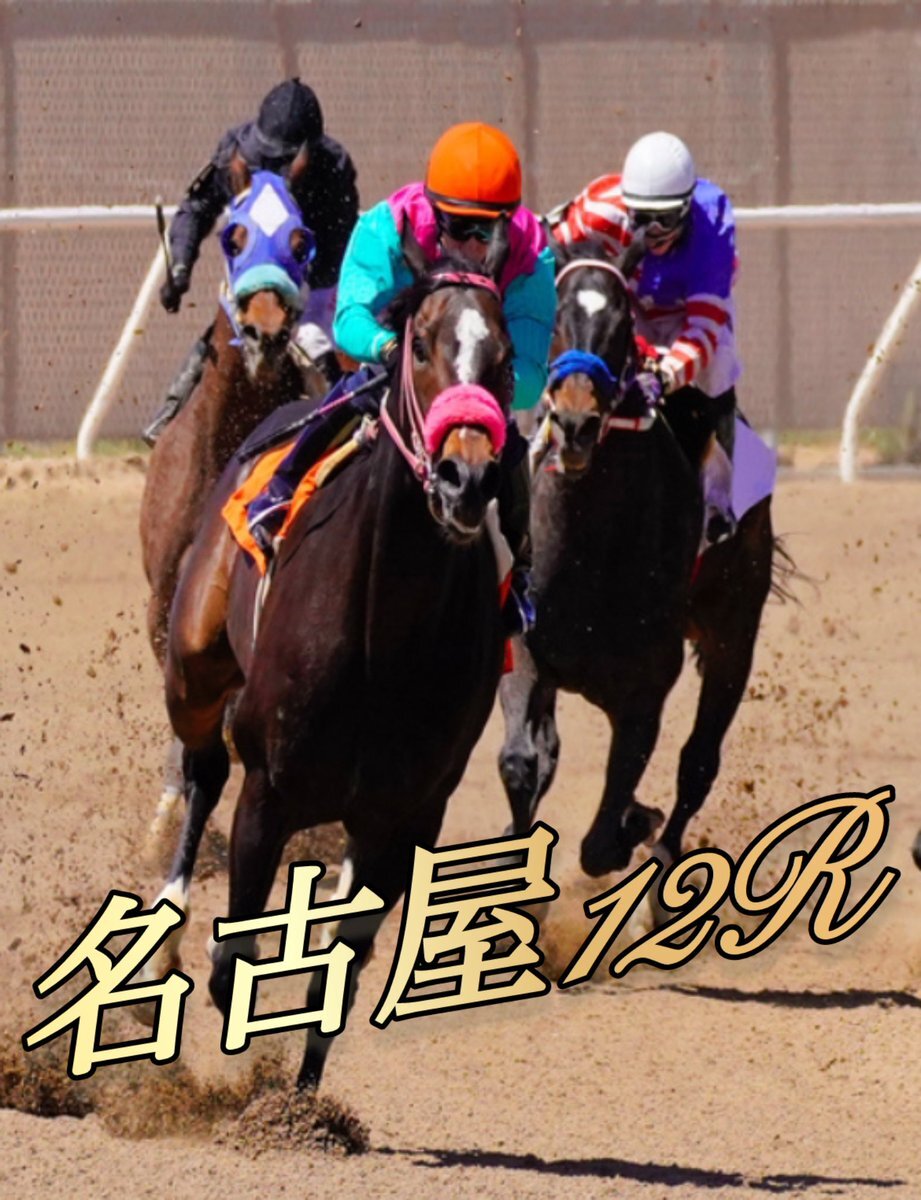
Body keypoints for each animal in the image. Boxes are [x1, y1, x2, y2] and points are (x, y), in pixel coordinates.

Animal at [145, 223, 513, 1090]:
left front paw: (302, 1101)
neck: (384, 632)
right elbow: (235, 955)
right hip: (194, 665)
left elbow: (343, 963)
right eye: (422, 346)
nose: (466, 477)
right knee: (200, 768)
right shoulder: (269, 789)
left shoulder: (406, 811)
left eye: (505, 354)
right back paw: (167, 928)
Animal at [499, 236, 776, 887]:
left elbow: (602, 843)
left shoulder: (646, 690)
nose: (575, 422)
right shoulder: (524, 645)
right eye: (553, 316)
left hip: (735, 628)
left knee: (698, 762)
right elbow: (523, 763)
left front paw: (635, 822)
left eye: (622, 323)